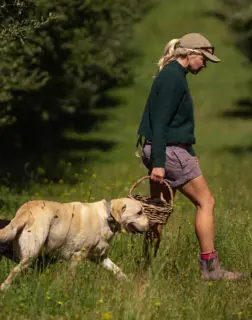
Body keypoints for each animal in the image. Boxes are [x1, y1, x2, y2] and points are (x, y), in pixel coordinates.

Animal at [0, 196, 149, 292]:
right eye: (139, 212)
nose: (150, 225)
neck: (107, 218)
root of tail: (25, 210)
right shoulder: (77, 256)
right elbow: (71, 279)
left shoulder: (101, 258)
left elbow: (119, 271)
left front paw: (130, 285)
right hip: (32, 253)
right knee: (14, 271)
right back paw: (4, 288)